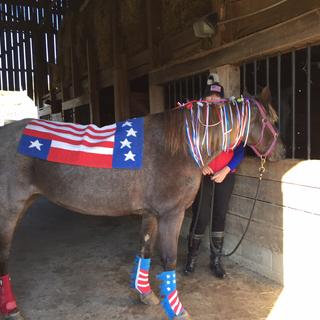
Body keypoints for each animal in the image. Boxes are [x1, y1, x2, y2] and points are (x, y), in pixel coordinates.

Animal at [0, 87, 284, 320]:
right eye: (271, 120)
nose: (281, 153)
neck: (178, 146)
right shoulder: (171, 214)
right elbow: (169, 259)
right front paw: (177, 309)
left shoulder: (151, 214)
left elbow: (145, 250)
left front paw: (145, 294)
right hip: (9, 212)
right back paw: (12, 310)